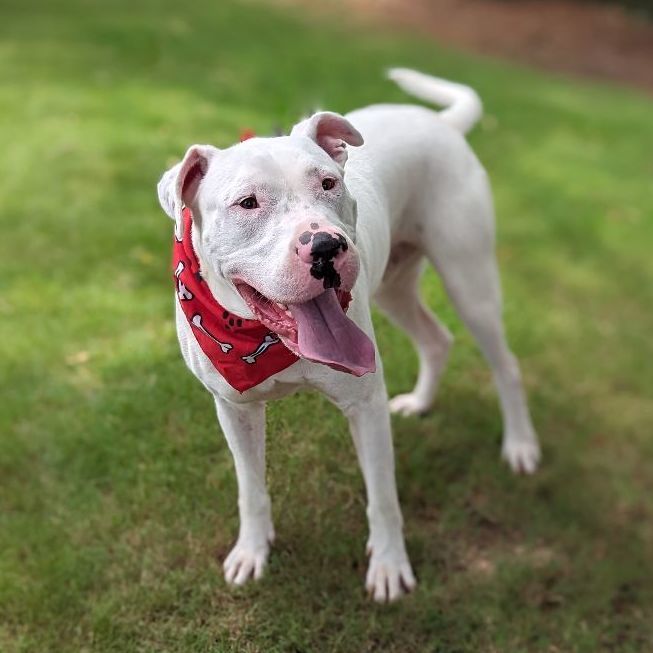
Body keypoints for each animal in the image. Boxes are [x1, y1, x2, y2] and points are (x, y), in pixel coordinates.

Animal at [157, 69, 540, 604]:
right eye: (247, 202)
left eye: (328, 183)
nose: (325, 246)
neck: (266, 340)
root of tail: (439, 122)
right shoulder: (235, 409)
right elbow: (250, 488)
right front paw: (252, 551)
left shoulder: (365, 404)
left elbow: (383, 495)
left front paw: (390, 565)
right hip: (395, 288)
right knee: (436, 339)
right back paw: (421, 402)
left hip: (470, 279)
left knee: (506, 365)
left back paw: (520, 445)